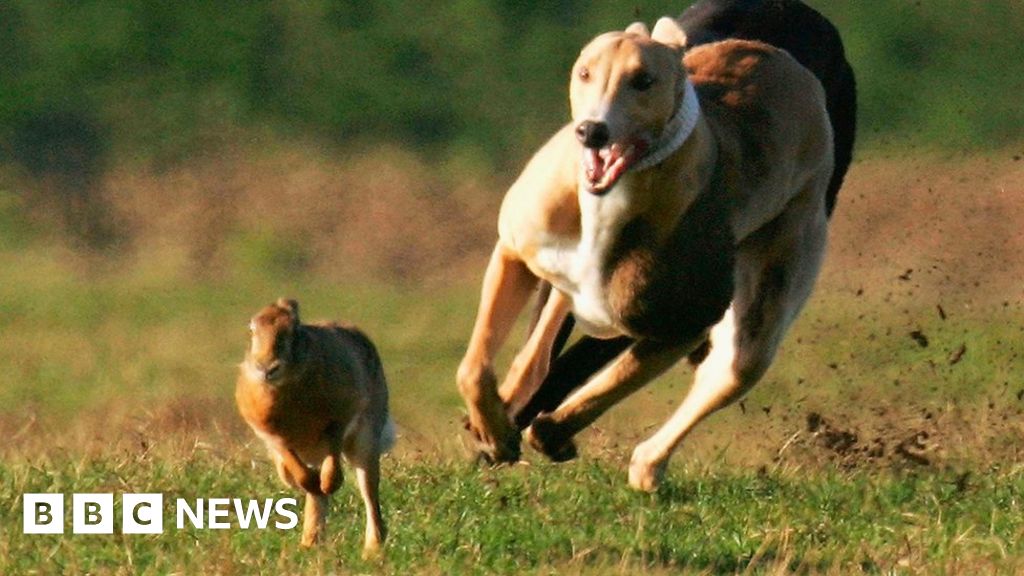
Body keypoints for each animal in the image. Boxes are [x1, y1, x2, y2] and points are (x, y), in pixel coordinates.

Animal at [458, 2, 856, 491]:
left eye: (643, 80)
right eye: (585, 73)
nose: (592, 131)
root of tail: (792, 68)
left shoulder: (684, 322)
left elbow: (612, 384)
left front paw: (552, 432)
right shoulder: (515, 252)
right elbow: (474, 367)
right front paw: (495, 432)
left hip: (779, 269)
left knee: (733, 368)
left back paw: (648, 464)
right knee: (540, 348)